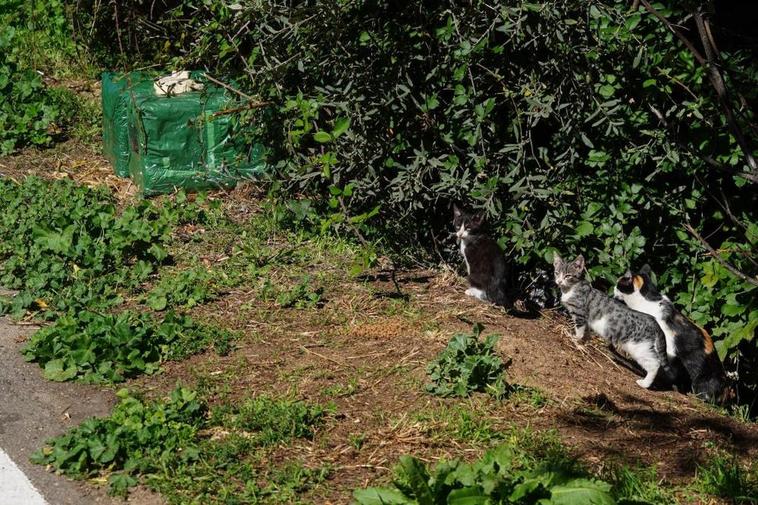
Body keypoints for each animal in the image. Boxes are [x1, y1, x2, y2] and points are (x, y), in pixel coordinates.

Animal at [552, 254, 676, 388]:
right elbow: (586, 333)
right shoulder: (586, 322)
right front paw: (584, 341)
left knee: (655, 364)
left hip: (638, 347)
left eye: (568, 275)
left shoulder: (579, 314)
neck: (571, 289)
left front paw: (574, 338)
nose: (559, 281)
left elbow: (579, 330)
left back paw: (644, 383)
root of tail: (654, 322)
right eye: (557, 273)